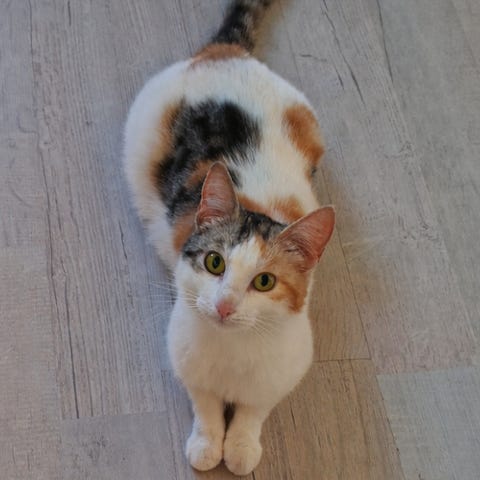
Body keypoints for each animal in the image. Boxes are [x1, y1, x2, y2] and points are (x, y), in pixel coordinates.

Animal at [123, 0, 335, 476]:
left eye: (265, 281)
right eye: (214, 262)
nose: (223, 306)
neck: (233, 350)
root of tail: (224, 52)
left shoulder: (284, 369)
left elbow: (255, 408)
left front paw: (239, 447)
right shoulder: (184, 352)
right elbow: (204, 404)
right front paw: (208, 444)